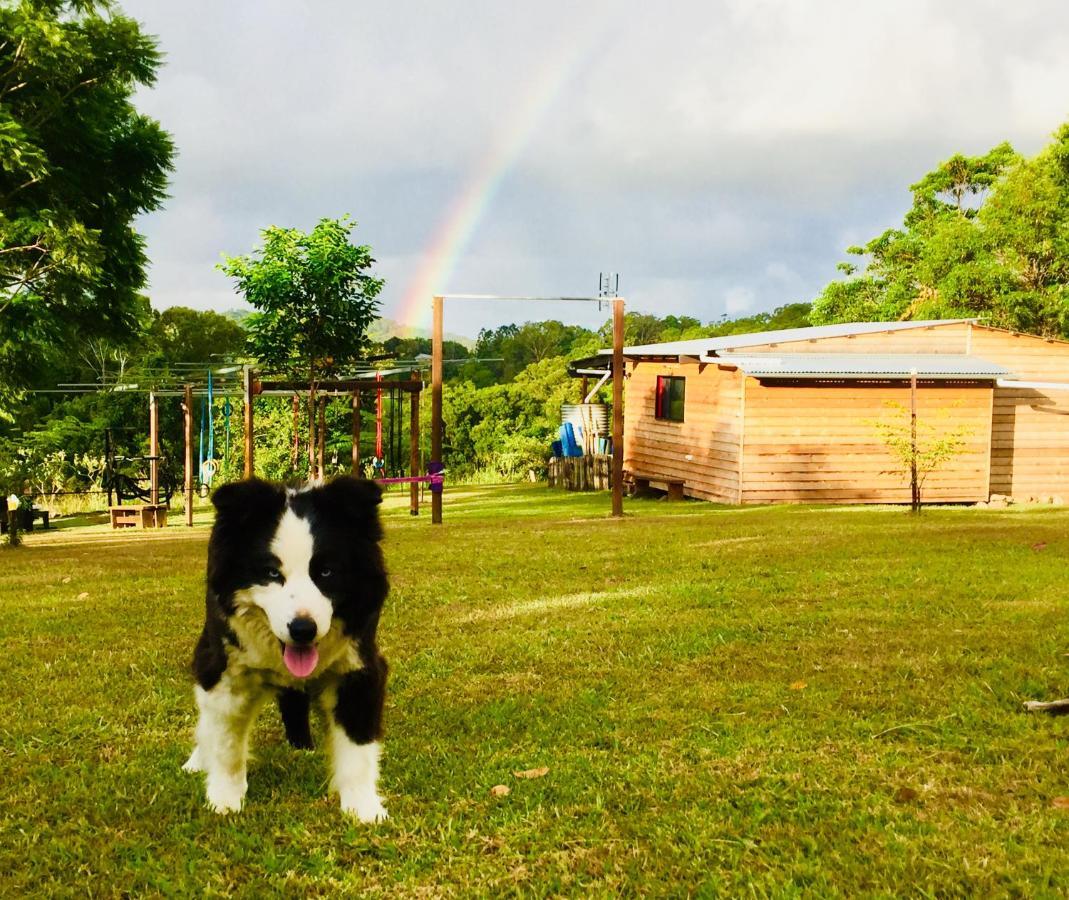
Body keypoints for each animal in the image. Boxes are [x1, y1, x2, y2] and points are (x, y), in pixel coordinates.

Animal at [186, 476, 391, 820]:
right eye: (271, 572)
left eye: (326, 572)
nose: (303, 630)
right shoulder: (225, 669)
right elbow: (225, 742)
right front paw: (225, 800)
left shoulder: (357, 663)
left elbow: (357, 743)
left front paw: (363, 808)